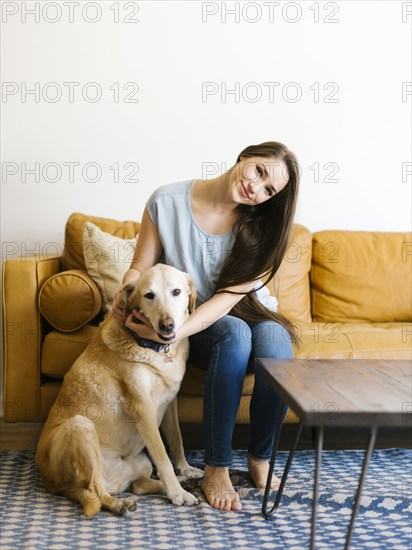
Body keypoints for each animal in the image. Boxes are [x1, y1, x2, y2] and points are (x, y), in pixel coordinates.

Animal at [36, 266, 204, 520]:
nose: (167, 325)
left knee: (138, 485)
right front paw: (178, 494)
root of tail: (51, 483)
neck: (154, 348)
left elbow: (176, 440)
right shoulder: (143, 409)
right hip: (80, 426)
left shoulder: (170, 404)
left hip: (140, 461)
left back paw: (183, 481)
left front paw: (185, 469)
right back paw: (120, 504)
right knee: (95, 491)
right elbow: (163, 458)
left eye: (176, 292)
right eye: (149, 295)